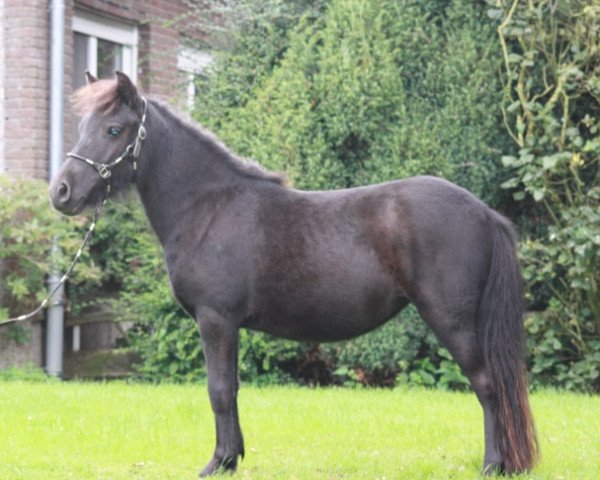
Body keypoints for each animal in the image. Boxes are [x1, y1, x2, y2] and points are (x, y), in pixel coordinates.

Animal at [49, 73, 536, 478]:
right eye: (83, 126)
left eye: (114, 130)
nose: (61, 193)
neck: (207, 206)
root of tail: (484, 211)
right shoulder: (228, 326)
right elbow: (232, 388)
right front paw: (233, 458)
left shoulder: (215, 319)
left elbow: (219, 390)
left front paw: (217, 463)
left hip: (452, 321)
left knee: (488, 386)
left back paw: (493, 465)